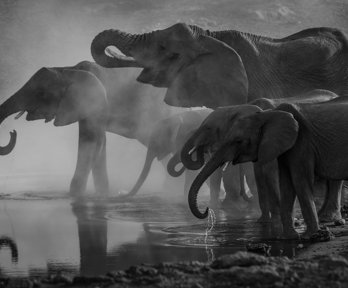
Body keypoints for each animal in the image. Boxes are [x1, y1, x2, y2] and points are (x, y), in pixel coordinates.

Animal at [0, 60, 174, 196]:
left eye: (40, 93)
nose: (12, 132)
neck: (68, 70)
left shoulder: (94, 102)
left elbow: (91, 141)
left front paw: (75, 196)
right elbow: (98, 142)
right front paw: (101, 195)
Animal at [186, 93, 348, 241]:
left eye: (238, 141)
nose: (207, 210)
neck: (264, 115)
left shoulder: (302, 142)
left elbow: (298, 180)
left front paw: (309, 236)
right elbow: (284, 183)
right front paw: (287, 237)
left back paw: (327, 219)